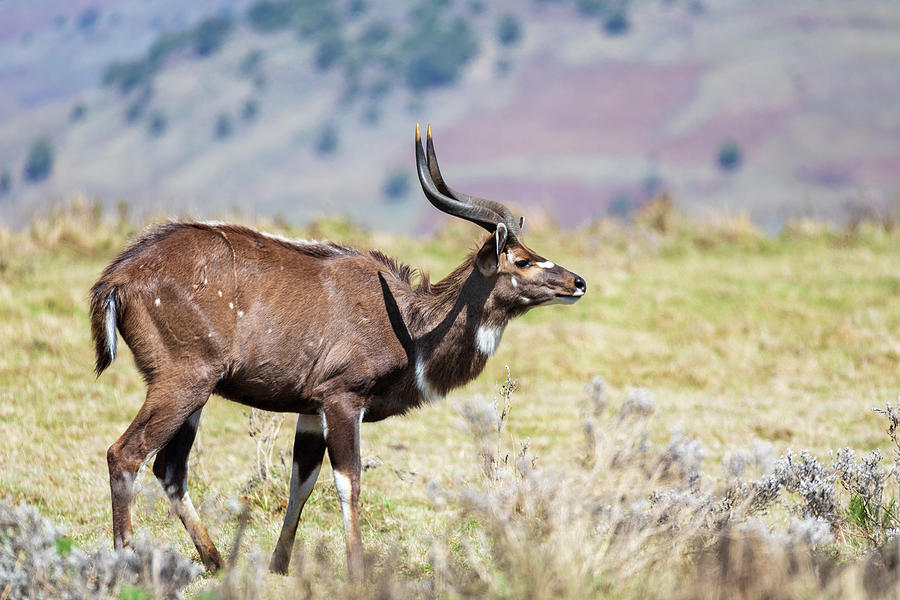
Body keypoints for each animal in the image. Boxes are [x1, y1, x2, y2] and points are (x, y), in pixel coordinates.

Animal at [89, 125, 584, 576]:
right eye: (521, 260)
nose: (578, 282)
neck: (410, 327)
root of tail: (117, 280)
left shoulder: (310, 408)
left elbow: (301, 482)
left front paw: (280, 566)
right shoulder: (342, 397)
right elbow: (349, 480)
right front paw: (357, 569)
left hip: (195, 392)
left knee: (169, 469)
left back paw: (215, 561)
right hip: (185, 380)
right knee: (125, 454)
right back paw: (127, 562)